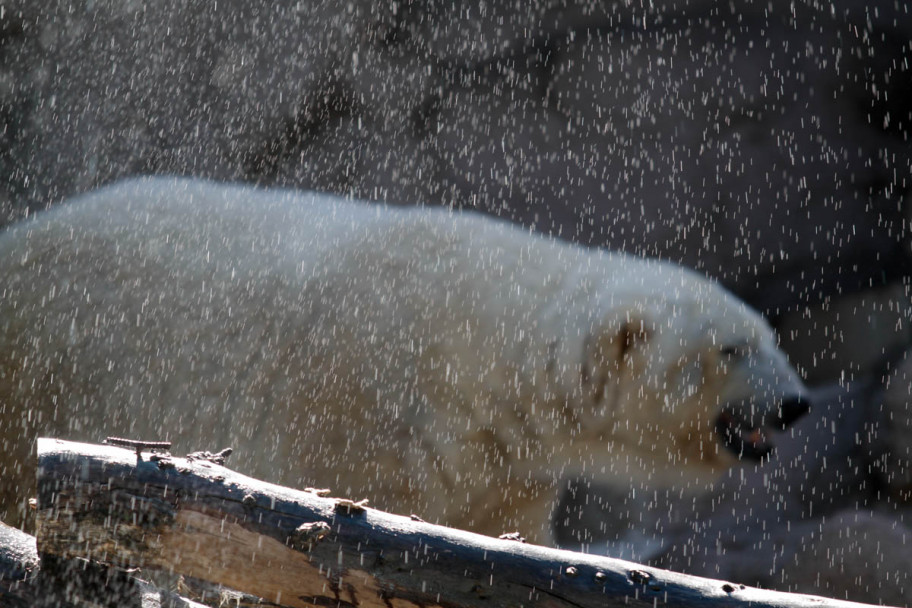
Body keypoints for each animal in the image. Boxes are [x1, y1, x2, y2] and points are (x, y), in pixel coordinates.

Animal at [0, 177, 804, 540]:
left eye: (771, 337)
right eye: (732, 349)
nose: (796, 404)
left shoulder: (504, 466)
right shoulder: (350, 404)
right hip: (39, 364)